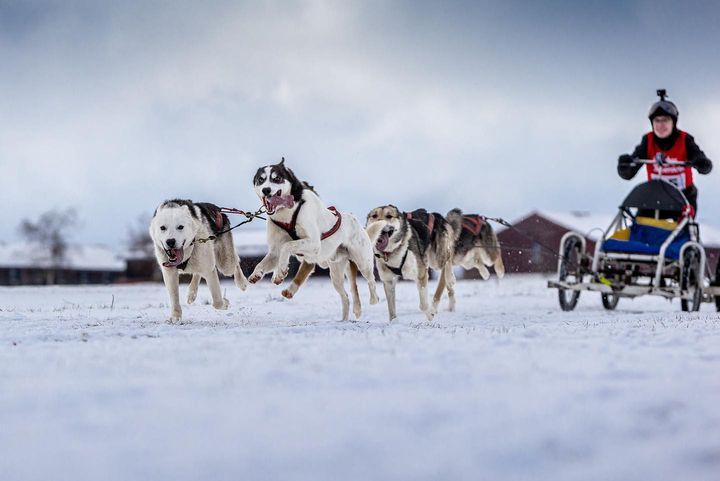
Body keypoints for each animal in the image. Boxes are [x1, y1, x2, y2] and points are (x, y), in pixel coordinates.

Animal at [249, 158, 380, 318]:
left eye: (277, 178)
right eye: (261, 180)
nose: (266, 190)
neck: (288, 213)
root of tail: (355, 220)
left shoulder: (313, 243)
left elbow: (287, 246)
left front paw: (280, 271)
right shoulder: (275, 251)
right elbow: (264, 262)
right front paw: (258, 274)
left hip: (362, 262)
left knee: (371, 281)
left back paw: (374, 299)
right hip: (336, 273)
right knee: (345, 296)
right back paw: (344, 318)